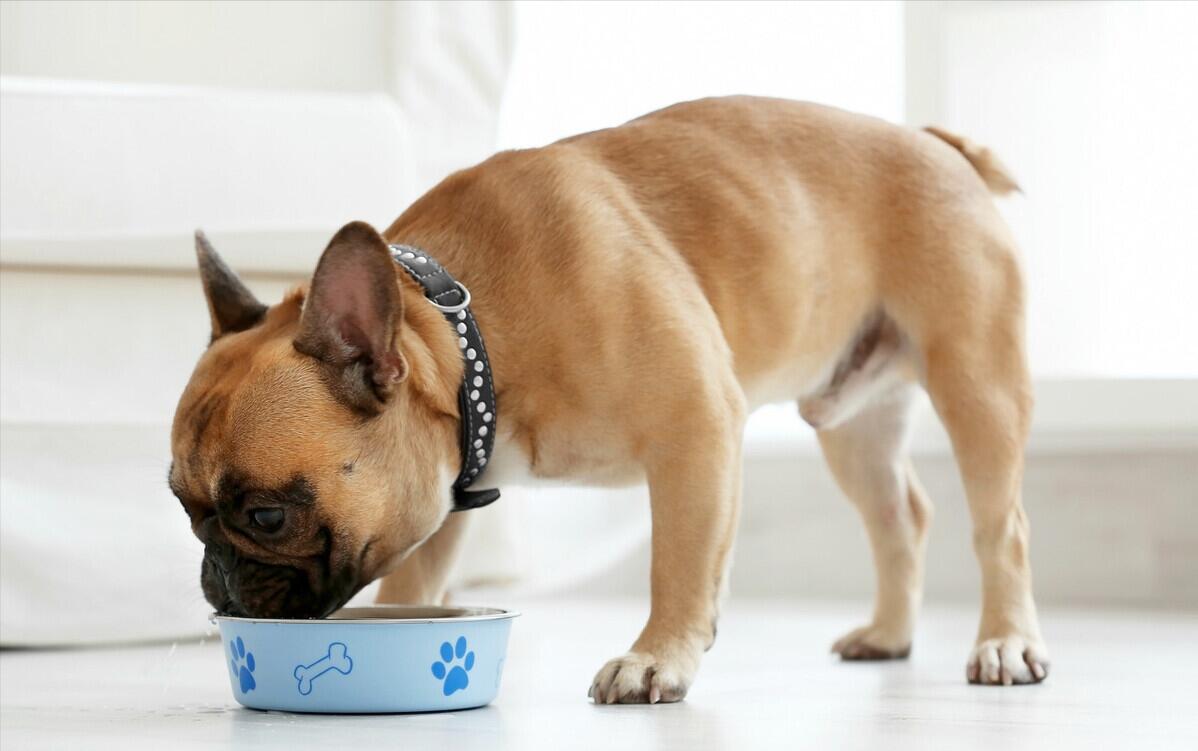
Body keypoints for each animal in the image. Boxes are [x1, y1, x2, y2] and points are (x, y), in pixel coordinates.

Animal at [168, 97, 1049, 704]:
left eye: (267, 515)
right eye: (184, 507)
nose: (212, 577)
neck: (468, 331)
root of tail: (938, 144)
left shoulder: (696, 428)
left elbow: (680, 562)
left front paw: (656, 657)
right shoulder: (438, 491)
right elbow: (413, 580)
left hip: (977, 380)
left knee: (1000, 526)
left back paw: (1006, 643)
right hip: (854, 424)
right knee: (901, 517)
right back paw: (891, 636)